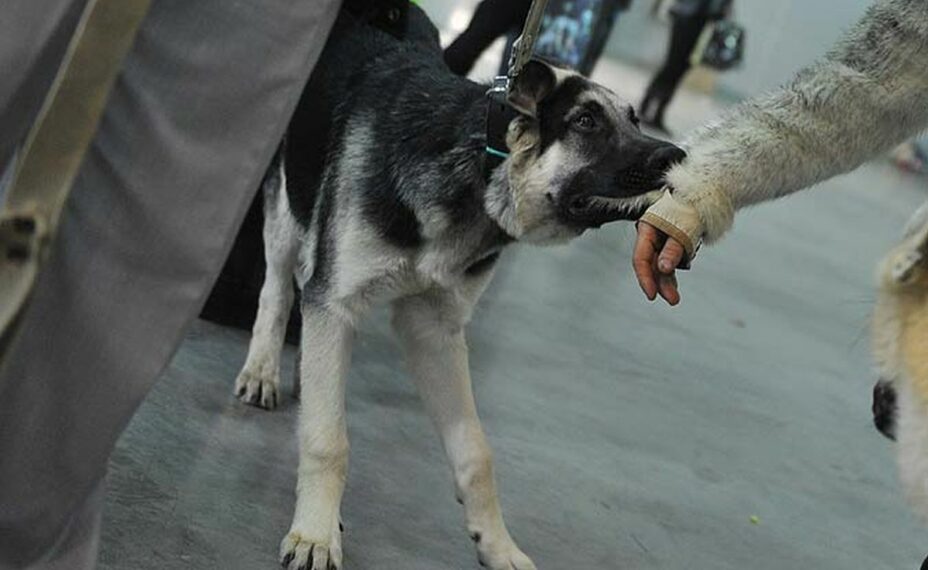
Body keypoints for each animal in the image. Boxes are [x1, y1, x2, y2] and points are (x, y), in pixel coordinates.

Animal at [232, 5, 680, 568]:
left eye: (634, 120)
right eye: (585, 122)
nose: (677, 155)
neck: (479, 165)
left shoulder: (434, 331)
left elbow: (475, 451)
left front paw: (497, 543)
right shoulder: (338, 301)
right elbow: (327, 440)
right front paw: (314, 533)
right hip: (288, 206)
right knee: (278, 288)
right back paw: (262, 370)